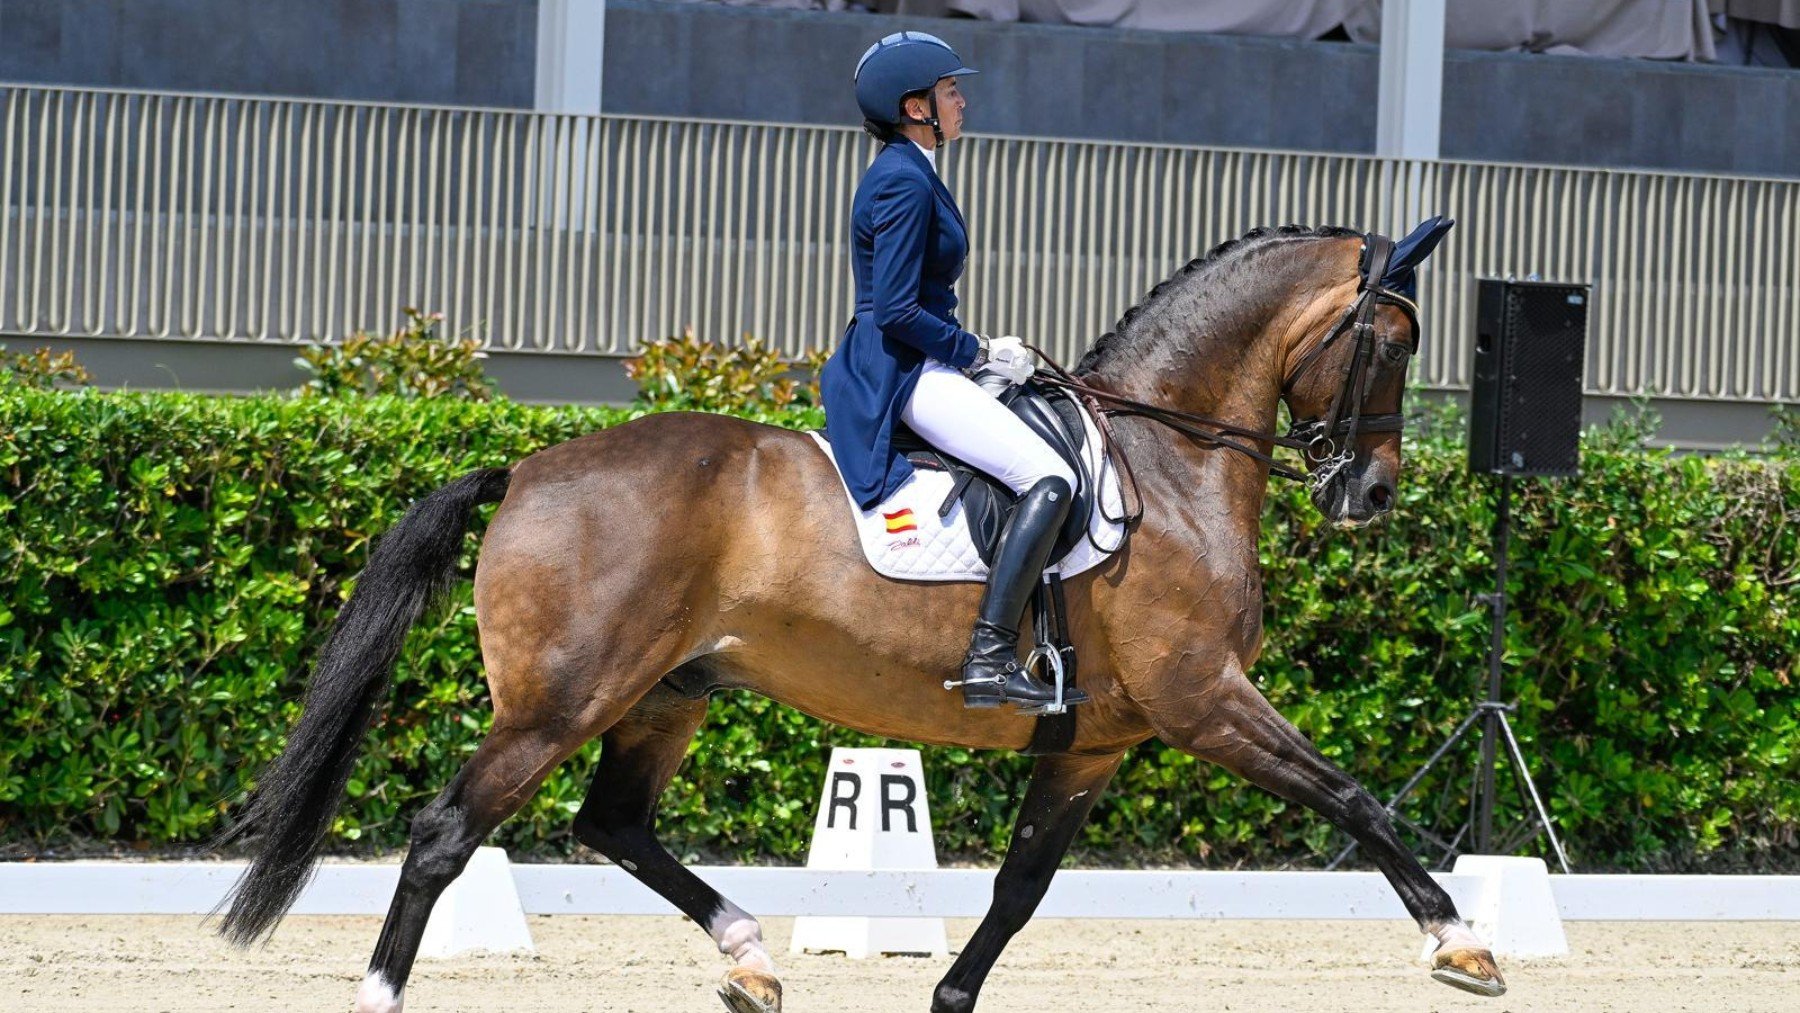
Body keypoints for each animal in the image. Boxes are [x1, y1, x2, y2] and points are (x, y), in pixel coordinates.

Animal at [217, 222, 1504, 1013]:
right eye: (1391, 340)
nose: (1369, 493)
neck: (1169, 461)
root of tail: (526, 467)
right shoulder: (1205, 702)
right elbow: (1356, 798)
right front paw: (1461, 941)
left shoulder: (1092, 742)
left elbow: (1020, 887)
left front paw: (948, 995)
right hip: (562, 698)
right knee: (448, 830)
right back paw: (382, 989)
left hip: (666, 691)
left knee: (614, 824)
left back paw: (748, 958)